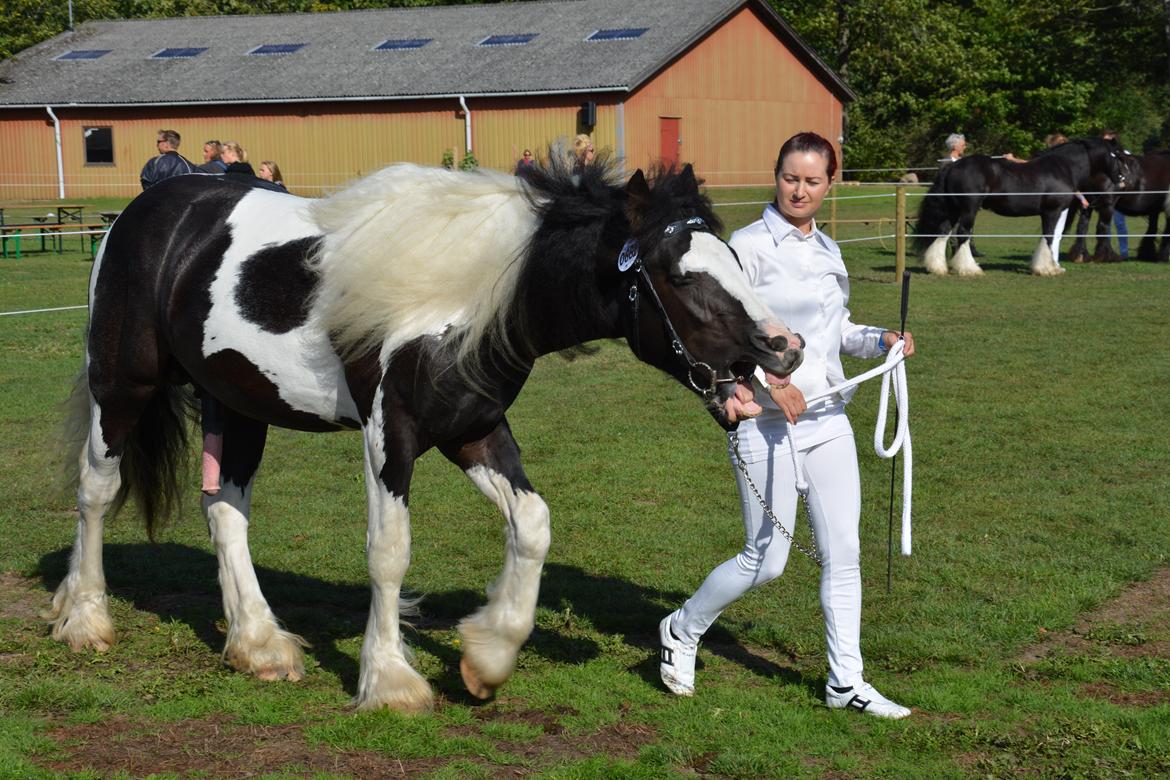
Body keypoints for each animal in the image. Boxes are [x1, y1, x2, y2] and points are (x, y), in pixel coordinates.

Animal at [52, 154, 804, 715]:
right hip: (123, 387)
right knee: (96, 490)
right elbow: (390, 552)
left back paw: (259, 645)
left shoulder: (472, 428)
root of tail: (140, 216)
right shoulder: (394, 434)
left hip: (237, 404)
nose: (785, 349)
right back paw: (84, 620)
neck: (471, 295)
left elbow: (533, 523)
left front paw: (487, 658)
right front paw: (390, 682)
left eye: (736, 258)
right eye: (681, 275)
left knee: (225, 510)